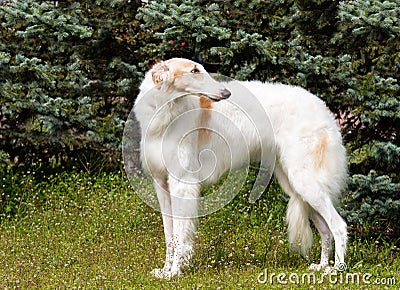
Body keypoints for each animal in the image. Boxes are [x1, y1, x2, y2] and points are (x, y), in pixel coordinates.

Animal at [134, 57, 346, 278]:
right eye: (194, 71)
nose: (226, 93)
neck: (165, 112)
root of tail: (323, 109)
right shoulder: (161, 183)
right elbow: (169, 235)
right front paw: (165, 270)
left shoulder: (182, 183)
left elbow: (180, 234)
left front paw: (175, 271)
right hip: (296, 185)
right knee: (325, 230)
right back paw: (322, 266)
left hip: (305, 181)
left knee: (339, 226)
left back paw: (337, 269)